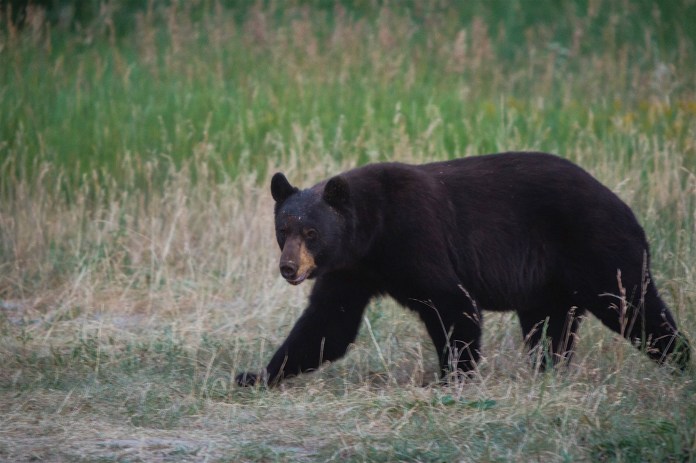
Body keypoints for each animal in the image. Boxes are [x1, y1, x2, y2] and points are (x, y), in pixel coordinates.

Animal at [236, 152, 691, 387]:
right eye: (282, 230)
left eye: (311, 232)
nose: (289, 268)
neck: (370, 233)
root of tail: (626, 208)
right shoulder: (352, 271)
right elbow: (327, 324)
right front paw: (255, 374)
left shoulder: (416, 238)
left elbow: (452, 303)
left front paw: (453, 378)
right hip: (548, 284)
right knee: (550, 327)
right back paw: (548, 374)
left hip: (598, 249)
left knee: (635, 308)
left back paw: (681, 360)